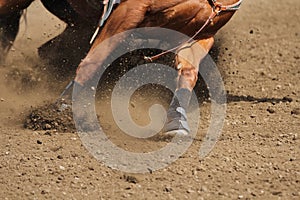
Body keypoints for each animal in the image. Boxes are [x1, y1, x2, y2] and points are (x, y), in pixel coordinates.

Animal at [0, 0, 243, 136]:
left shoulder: (200, 35)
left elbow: (188, 75)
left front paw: (177, 121)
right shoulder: (130, 10)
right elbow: (93, 61)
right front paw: (61, 111)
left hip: (79, 23)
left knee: (45, 49)